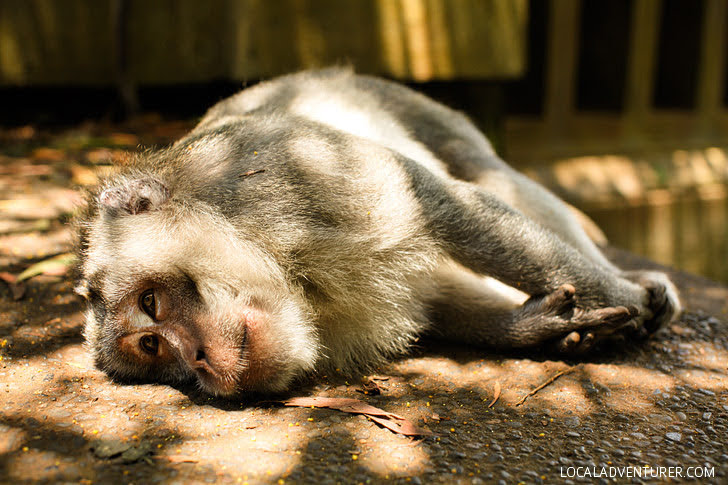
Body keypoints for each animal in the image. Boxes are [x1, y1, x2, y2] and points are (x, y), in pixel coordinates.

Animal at [75, 69, 684, 398]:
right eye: (156, 349)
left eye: (150, 304)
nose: (199, 359)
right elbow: (435, 295)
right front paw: (534, 328)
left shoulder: (285, 173)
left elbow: (448, 211)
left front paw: (633, 299)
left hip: (413, 107)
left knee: (487, 173)